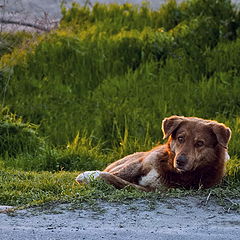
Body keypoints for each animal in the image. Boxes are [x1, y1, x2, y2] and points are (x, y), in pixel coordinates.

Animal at [76, 116, 232, 191]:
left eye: (200, 143)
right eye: (180, 138)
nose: (180, 161)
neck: (169, 168)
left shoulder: (152, 189)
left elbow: (116, 180)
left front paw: (89, 176)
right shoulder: (138, 164)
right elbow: (117, 175)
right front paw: (90, 175)